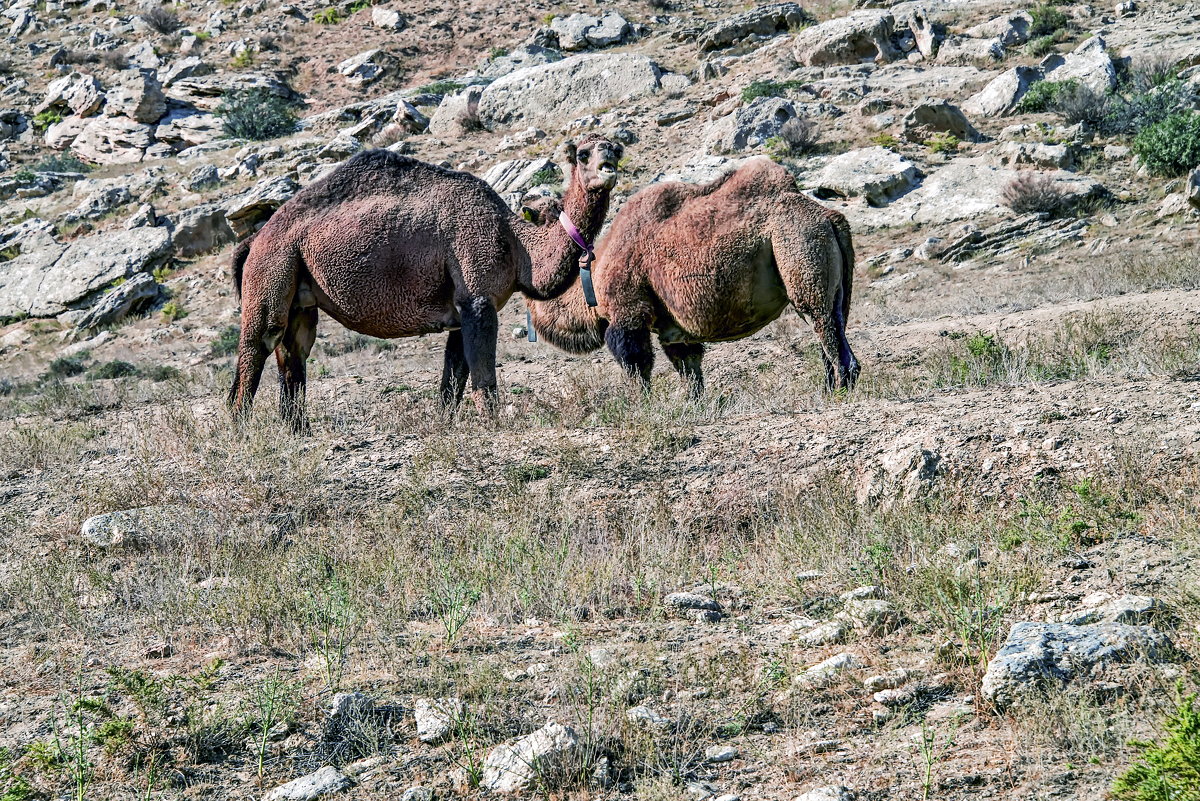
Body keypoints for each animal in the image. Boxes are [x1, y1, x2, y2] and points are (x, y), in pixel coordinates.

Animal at [228, 134, 624, 431]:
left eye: (616, 147)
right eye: (584, 153)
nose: (610, 154)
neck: (515, 244)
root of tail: (254, 240)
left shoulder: (462, 310)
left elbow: (453, 378)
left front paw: (445, 426)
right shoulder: (478, 296)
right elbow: (482, 374)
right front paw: (495, 425)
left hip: (300, 292)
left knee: (293, 352)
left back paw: (298, 433)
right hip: (273, 266)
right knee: (259, 342)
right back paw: (240, 432)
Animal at [530, 155, 859, 393]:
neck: (592, 279)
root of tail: (828, 216)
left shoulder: (628, 313)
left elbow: (637, 366)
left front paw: (643, 408)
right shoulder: (673, 330)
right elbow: (691, 372)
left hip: (798, 248)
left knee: (825, 329)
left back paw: (837, 393)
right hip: (835, 281)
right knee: (833, 327)